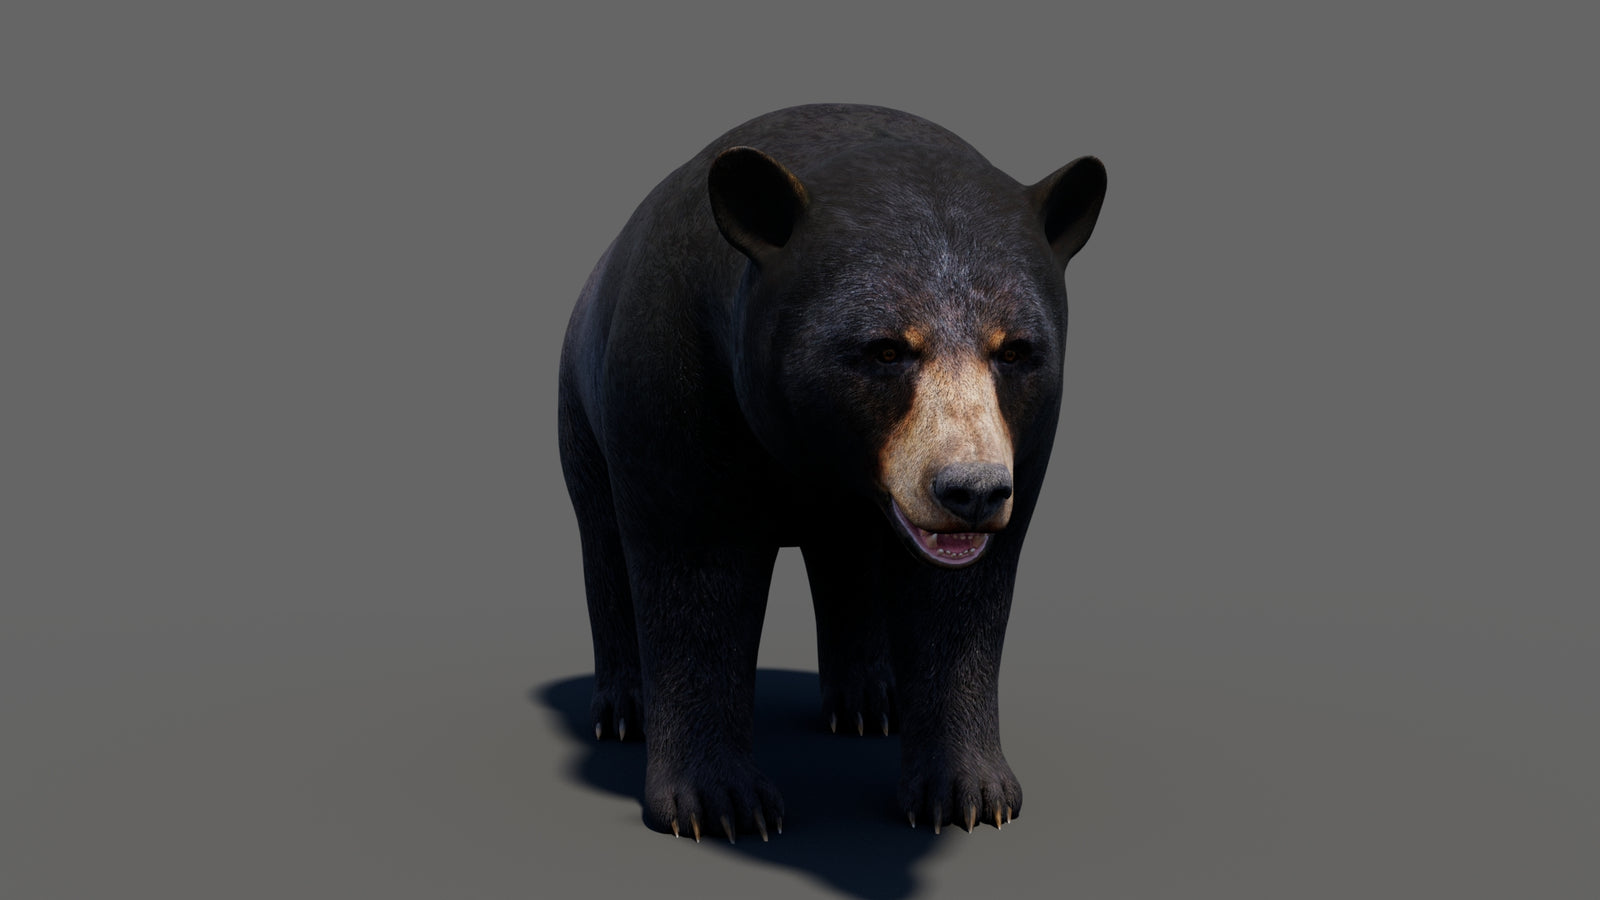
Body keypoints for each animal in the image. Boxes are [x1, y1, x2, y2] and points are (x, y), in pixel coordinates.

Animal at [557, 103, 1105, 842]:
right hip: (579, 407)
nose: (971, 491)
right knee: (602, 540)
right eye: (885, 350)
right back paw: (623, 709)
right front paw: (719, 803)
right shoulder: (674, 381)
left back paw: (870, 701)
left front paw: (970, 792)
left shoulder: (1025, 442)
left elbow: (964, 598)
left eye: (1015, 351)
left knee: (849, 560)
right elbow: (693, 572)